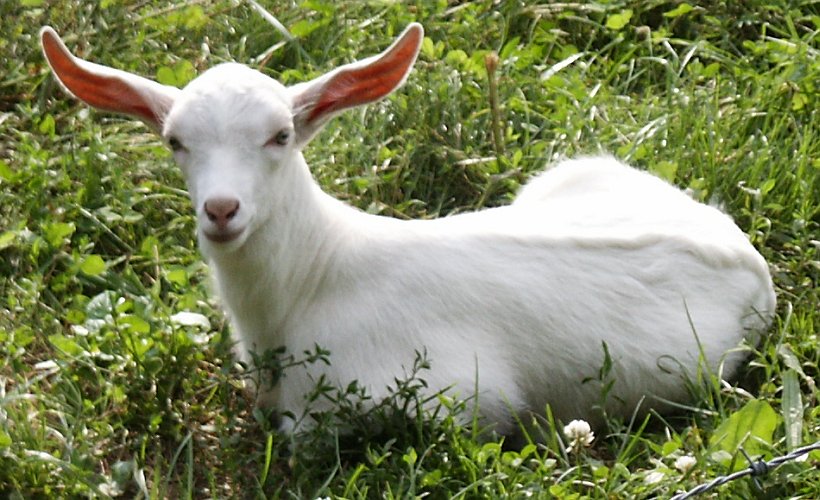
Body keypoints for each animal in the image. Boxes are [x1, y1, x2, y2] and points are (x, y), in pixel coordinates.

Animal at [40, 23, 776, 435]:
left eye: (280, 136)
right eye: (175, 141)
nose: (222, 210)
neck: (309, 284)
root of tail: (744, 251)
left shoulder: (461, 399)